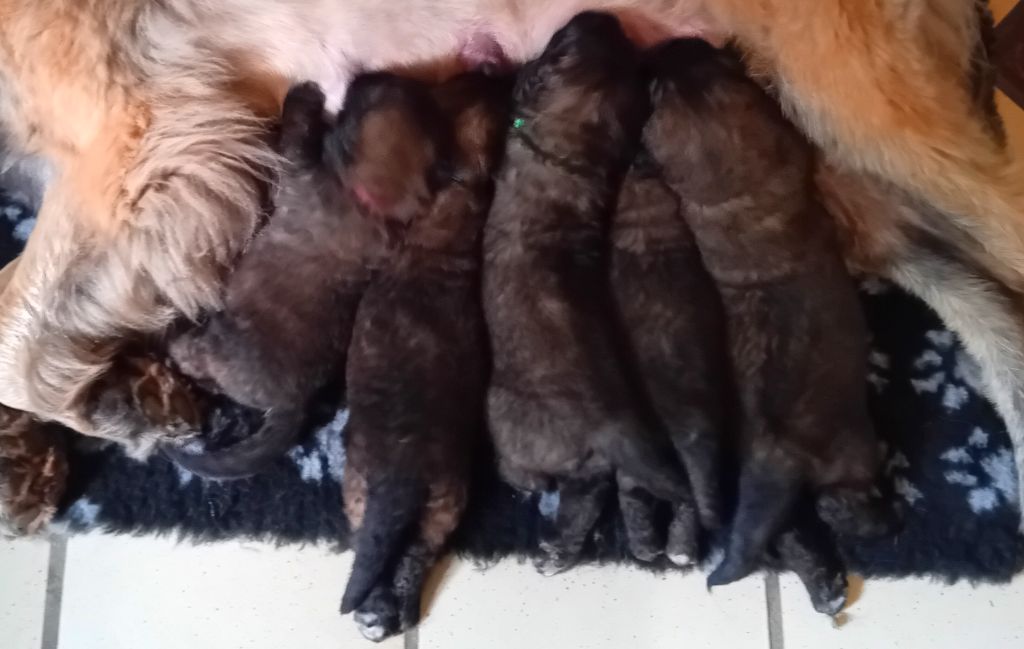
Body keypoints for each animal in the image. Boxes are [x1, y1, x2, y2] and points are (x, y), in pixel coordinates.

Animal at [165, 75, 446, 474]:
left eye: (361, 100)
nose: (364, 76)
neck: (372, 201)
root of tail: (291, 405)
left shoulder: (298, 168)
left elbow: (297, 133)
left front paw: (304, 96)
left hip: (215, 345)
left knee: (192, 355)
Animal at [339, 70, 507, 638]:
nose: (491, 70)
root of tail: (402, 480)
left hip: (367, 491)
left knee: (378, 553)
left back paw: (376, 611)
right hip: (435, 502)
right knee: (412, 558)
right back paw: (393, 610)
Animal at [483, 12, 692, 573]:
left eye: (560, 44)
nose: (603, 15)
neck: (569, 152)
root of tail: (608, 426)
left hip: (509, 420)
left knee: (536, 476)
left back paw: (520, 485)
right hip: (591, 464)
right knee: (587, 496)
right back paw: (558, 551)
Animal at [647, 39, 897, 597]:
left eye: (687, 53)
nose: (666, 45)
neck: (736, 190)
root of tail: (778, 455)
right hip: (853, 452)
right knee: (843, 506)